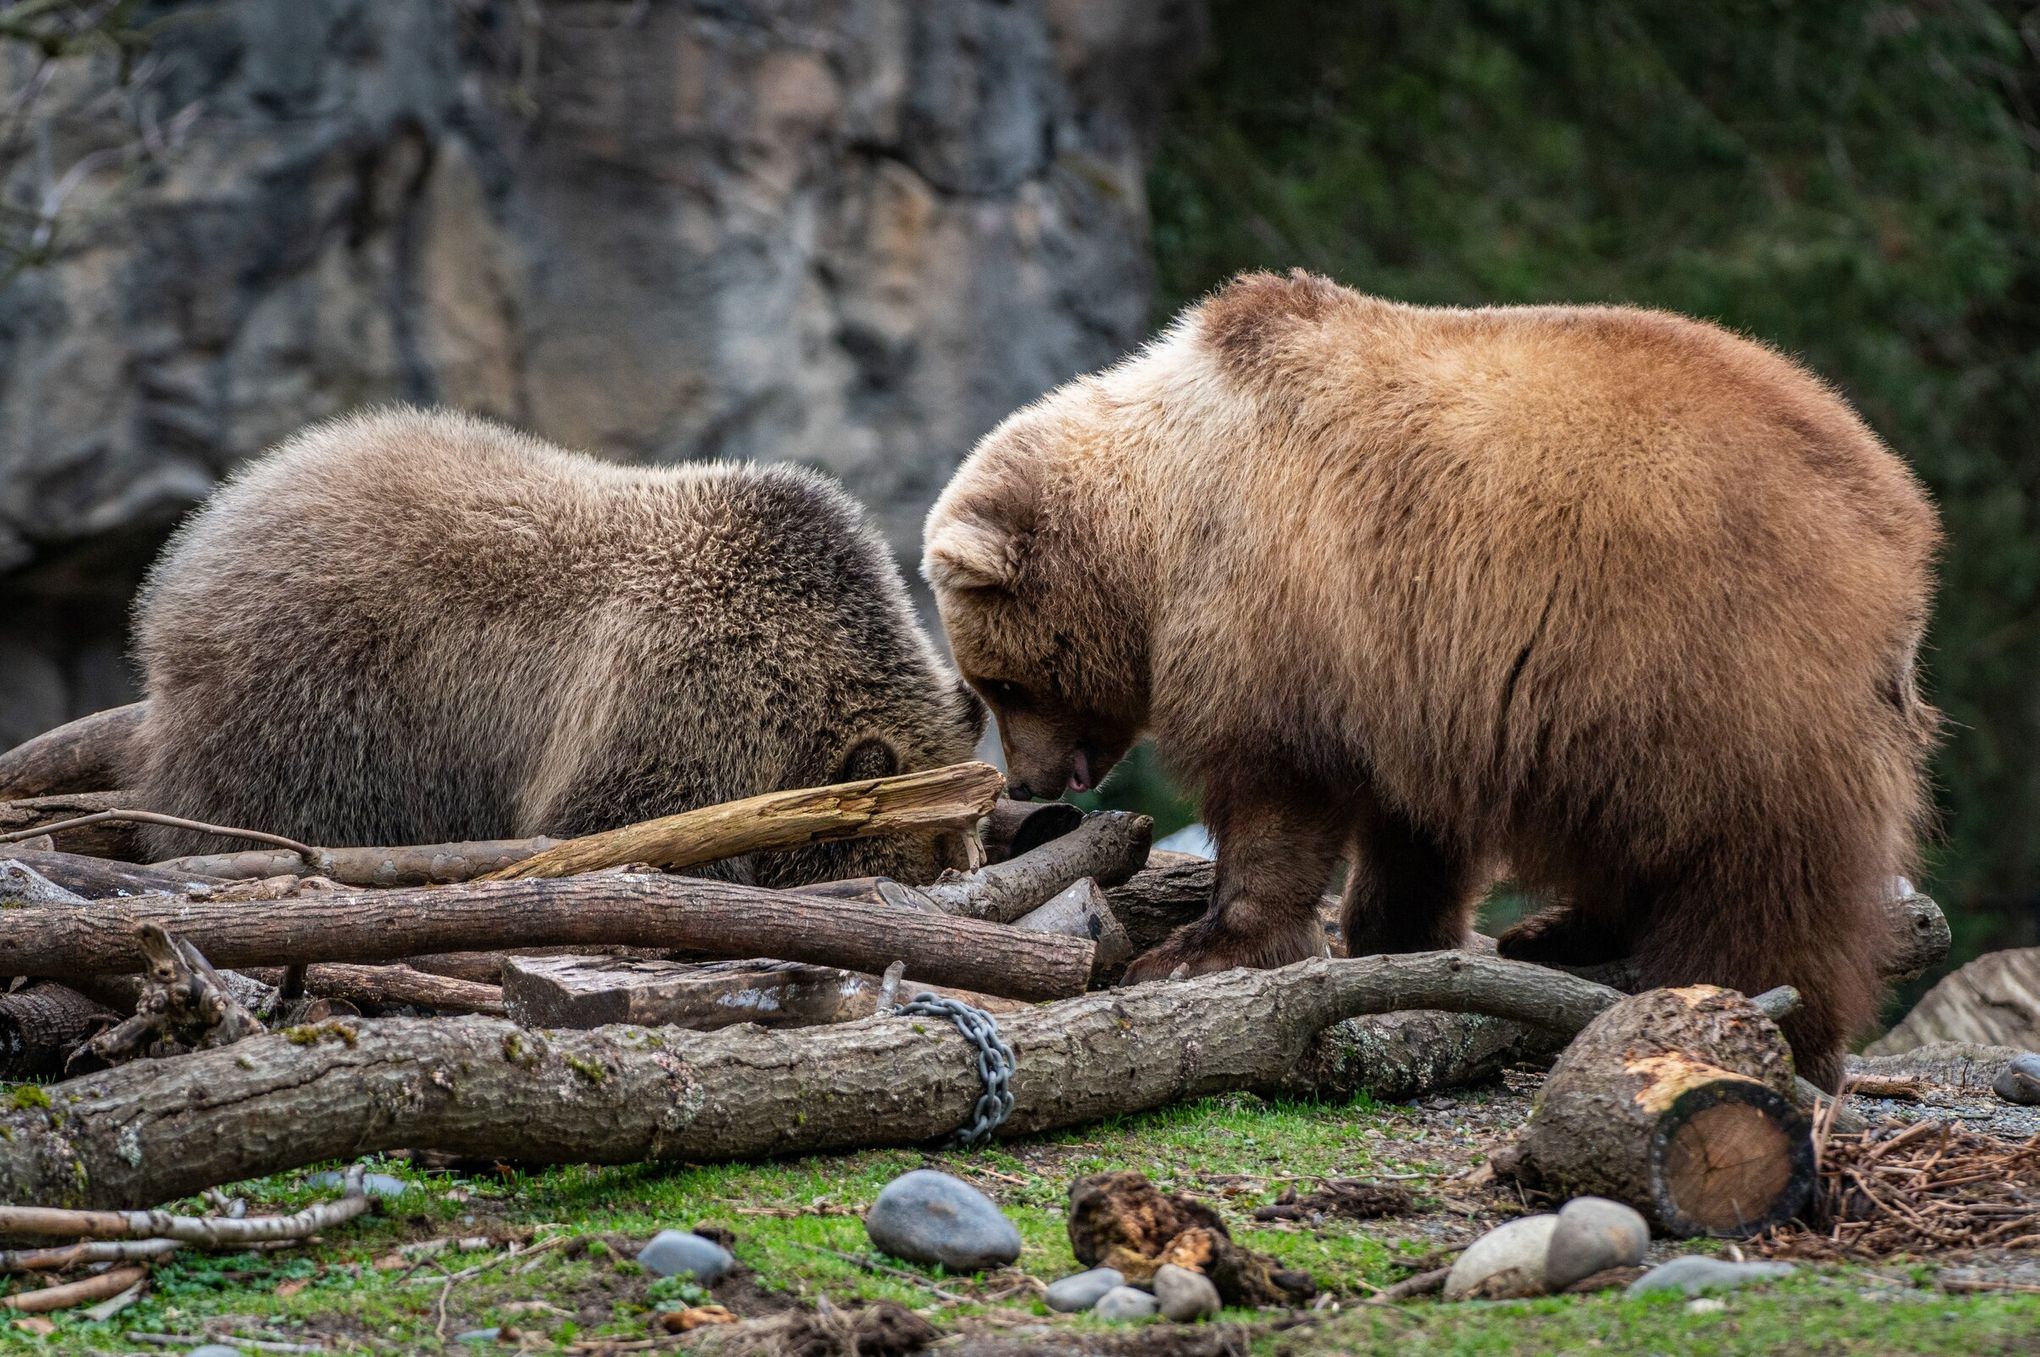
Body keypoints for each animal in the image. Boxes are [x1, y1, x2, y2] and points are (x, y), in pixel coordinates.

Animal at [129, 404, 987, 889]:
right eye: (929, 848)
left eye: (967, 839)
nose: (958, 868)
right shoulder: (687, 697)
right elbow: (622, 825)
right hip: (325, 705)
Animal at [930, 267, 1942, 1093]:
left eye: (1000, 683)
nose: (1032, 782)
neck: (1164, 521)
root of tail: (1900, 521)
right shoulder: (1418, 673)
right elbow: (1416, 830)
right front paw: (1394, 940)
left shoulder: (1279, 604)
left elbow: (1273, 792)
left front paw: (1197, 951)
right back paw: (1564, 932)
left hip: (1711, 657)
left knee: (1760, 858)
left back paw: (1765, 1012)